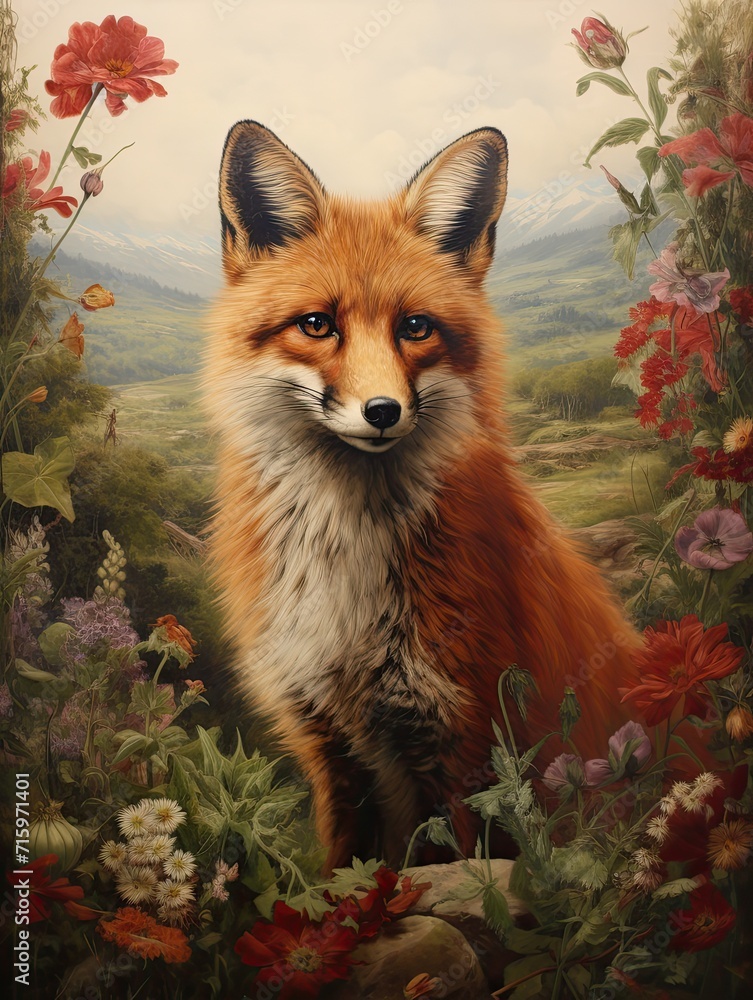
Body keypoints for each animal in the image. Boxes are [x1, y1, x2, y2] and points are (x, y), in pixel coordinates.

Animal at [203, 120, 647, 872]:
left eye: (415, 328)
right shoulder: (329, 745)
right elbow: (345, 875)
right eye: (317, 325)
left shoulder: (469, 749)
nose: (382, 411)